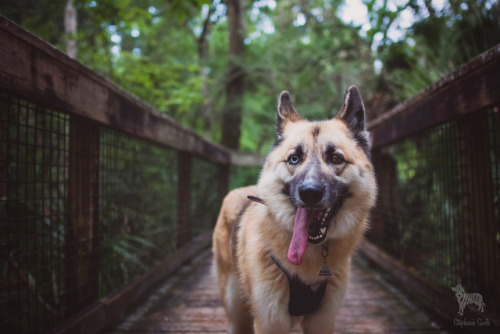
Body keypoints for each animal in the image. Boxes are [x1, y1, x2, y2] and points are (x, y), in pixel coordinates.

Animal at [213, 87, 376, 334]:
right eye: (294, 158)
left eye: (335, 158)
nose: (309, 192)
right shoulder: (271, 322)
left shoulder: (322, 322)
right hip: (236, 311)